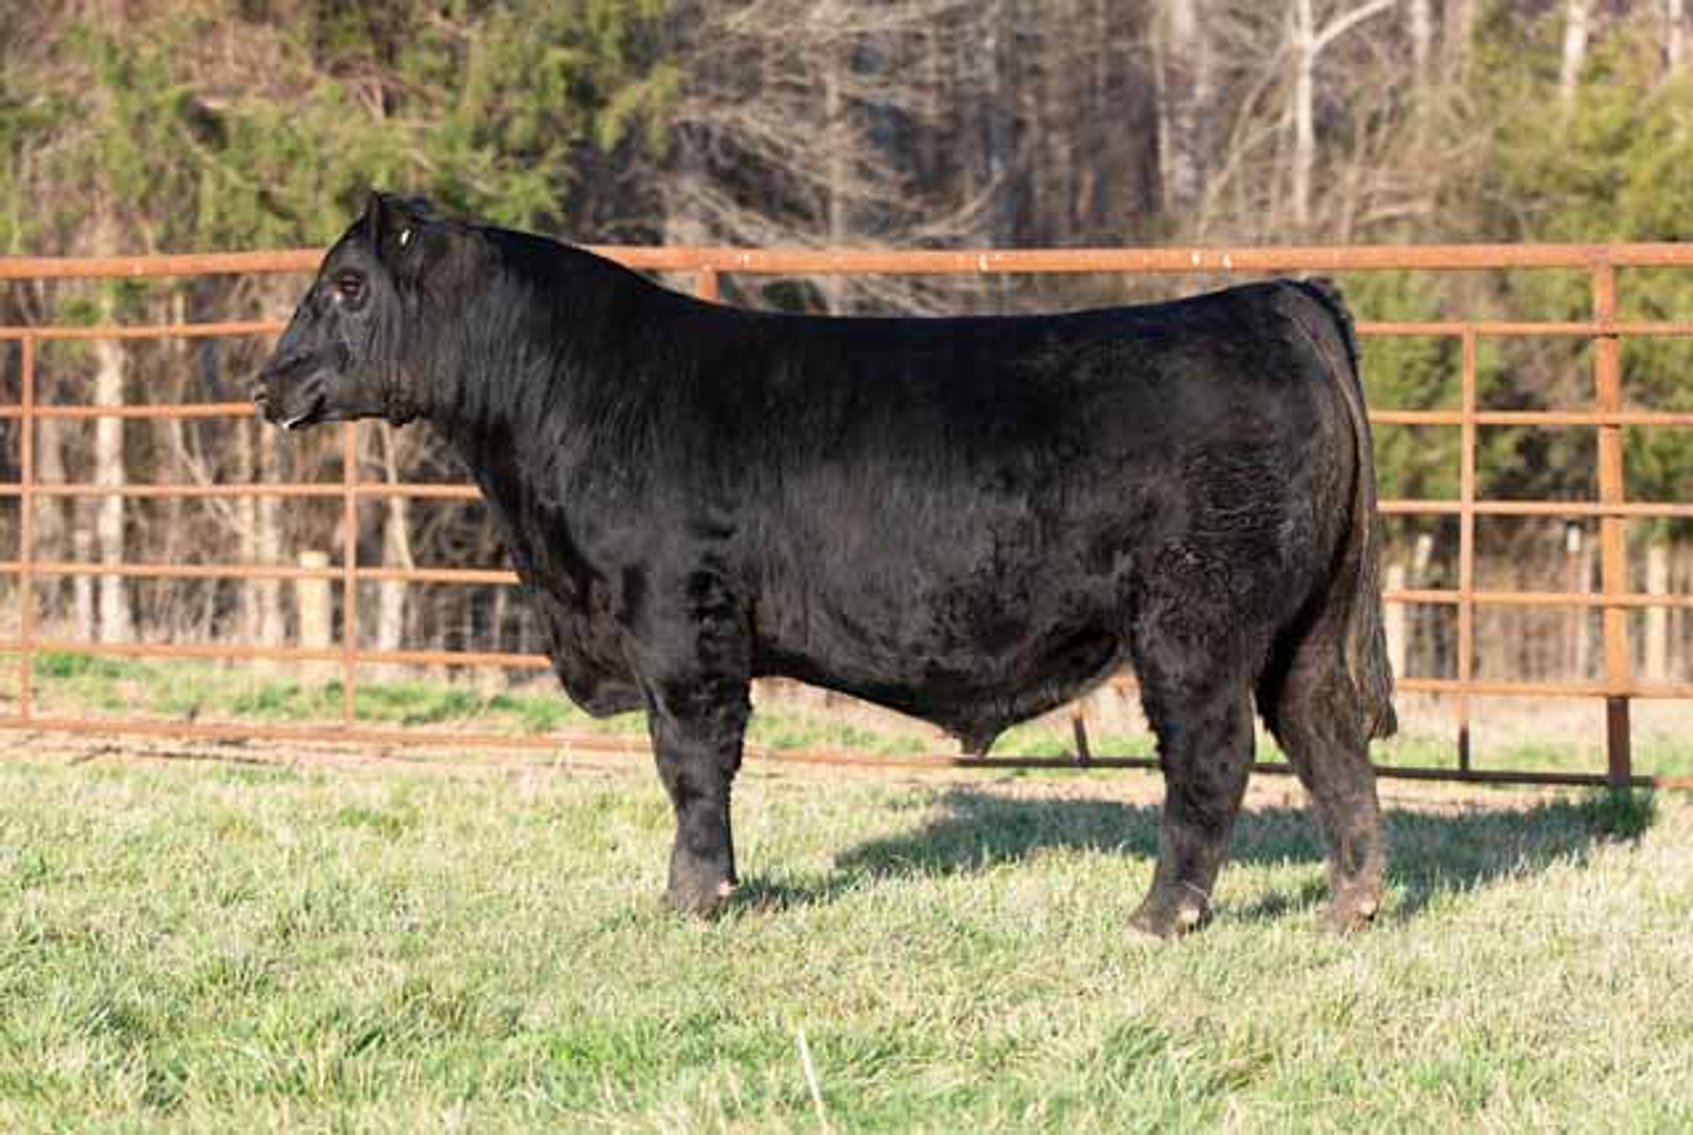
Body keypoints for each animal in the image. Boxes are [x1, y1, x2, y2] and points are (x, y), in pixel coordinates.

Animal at [255, 193, 1397, 937]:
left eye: (346, 284)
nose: (269, 383)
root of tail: (1268, 300)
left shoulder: (677, 619)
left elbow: (690, 760)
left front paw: (693, 897)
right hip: (1296, 629)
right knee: (1328, 741)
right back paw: (1349, 907)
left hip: (1195, 622)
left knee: (1212, 755)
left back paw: (1160, 915)